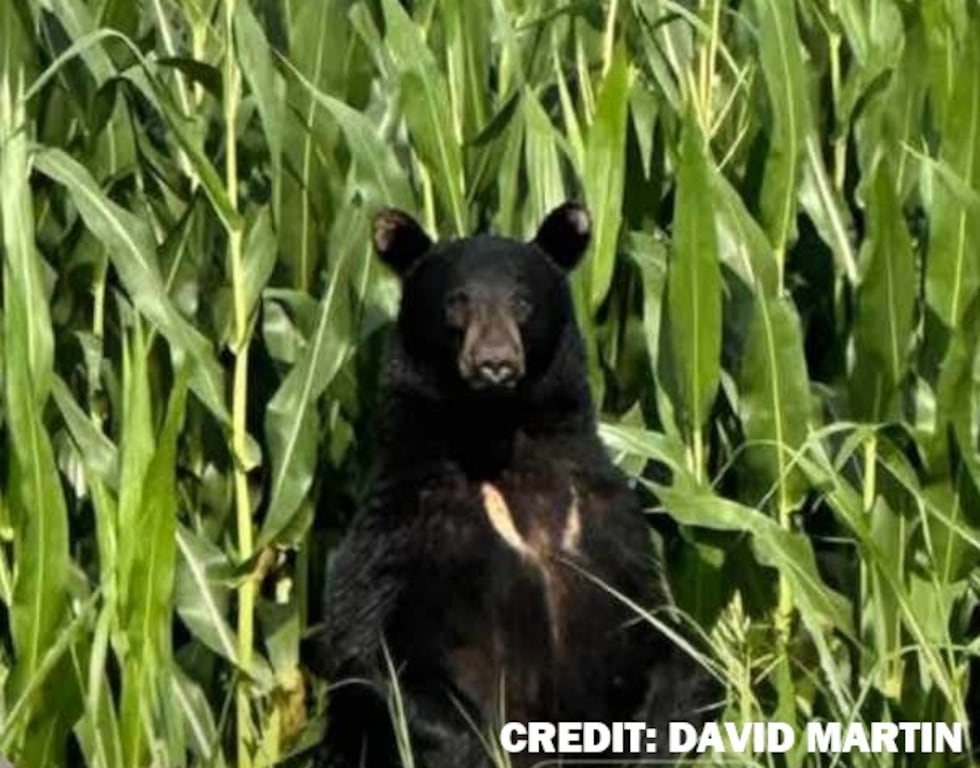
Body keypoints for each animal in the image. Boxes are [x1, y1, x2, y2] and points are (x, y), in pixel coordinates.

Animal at [315, 203, 717, 768]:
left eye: (522, 301)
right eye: (456, 302)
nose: (494, 363)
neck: (501, 443)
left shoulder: (607, 522)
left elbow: (664, 635)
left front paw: (657, 733)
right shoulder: (406, 521)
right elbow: (371, 644)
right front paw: (479, 746)